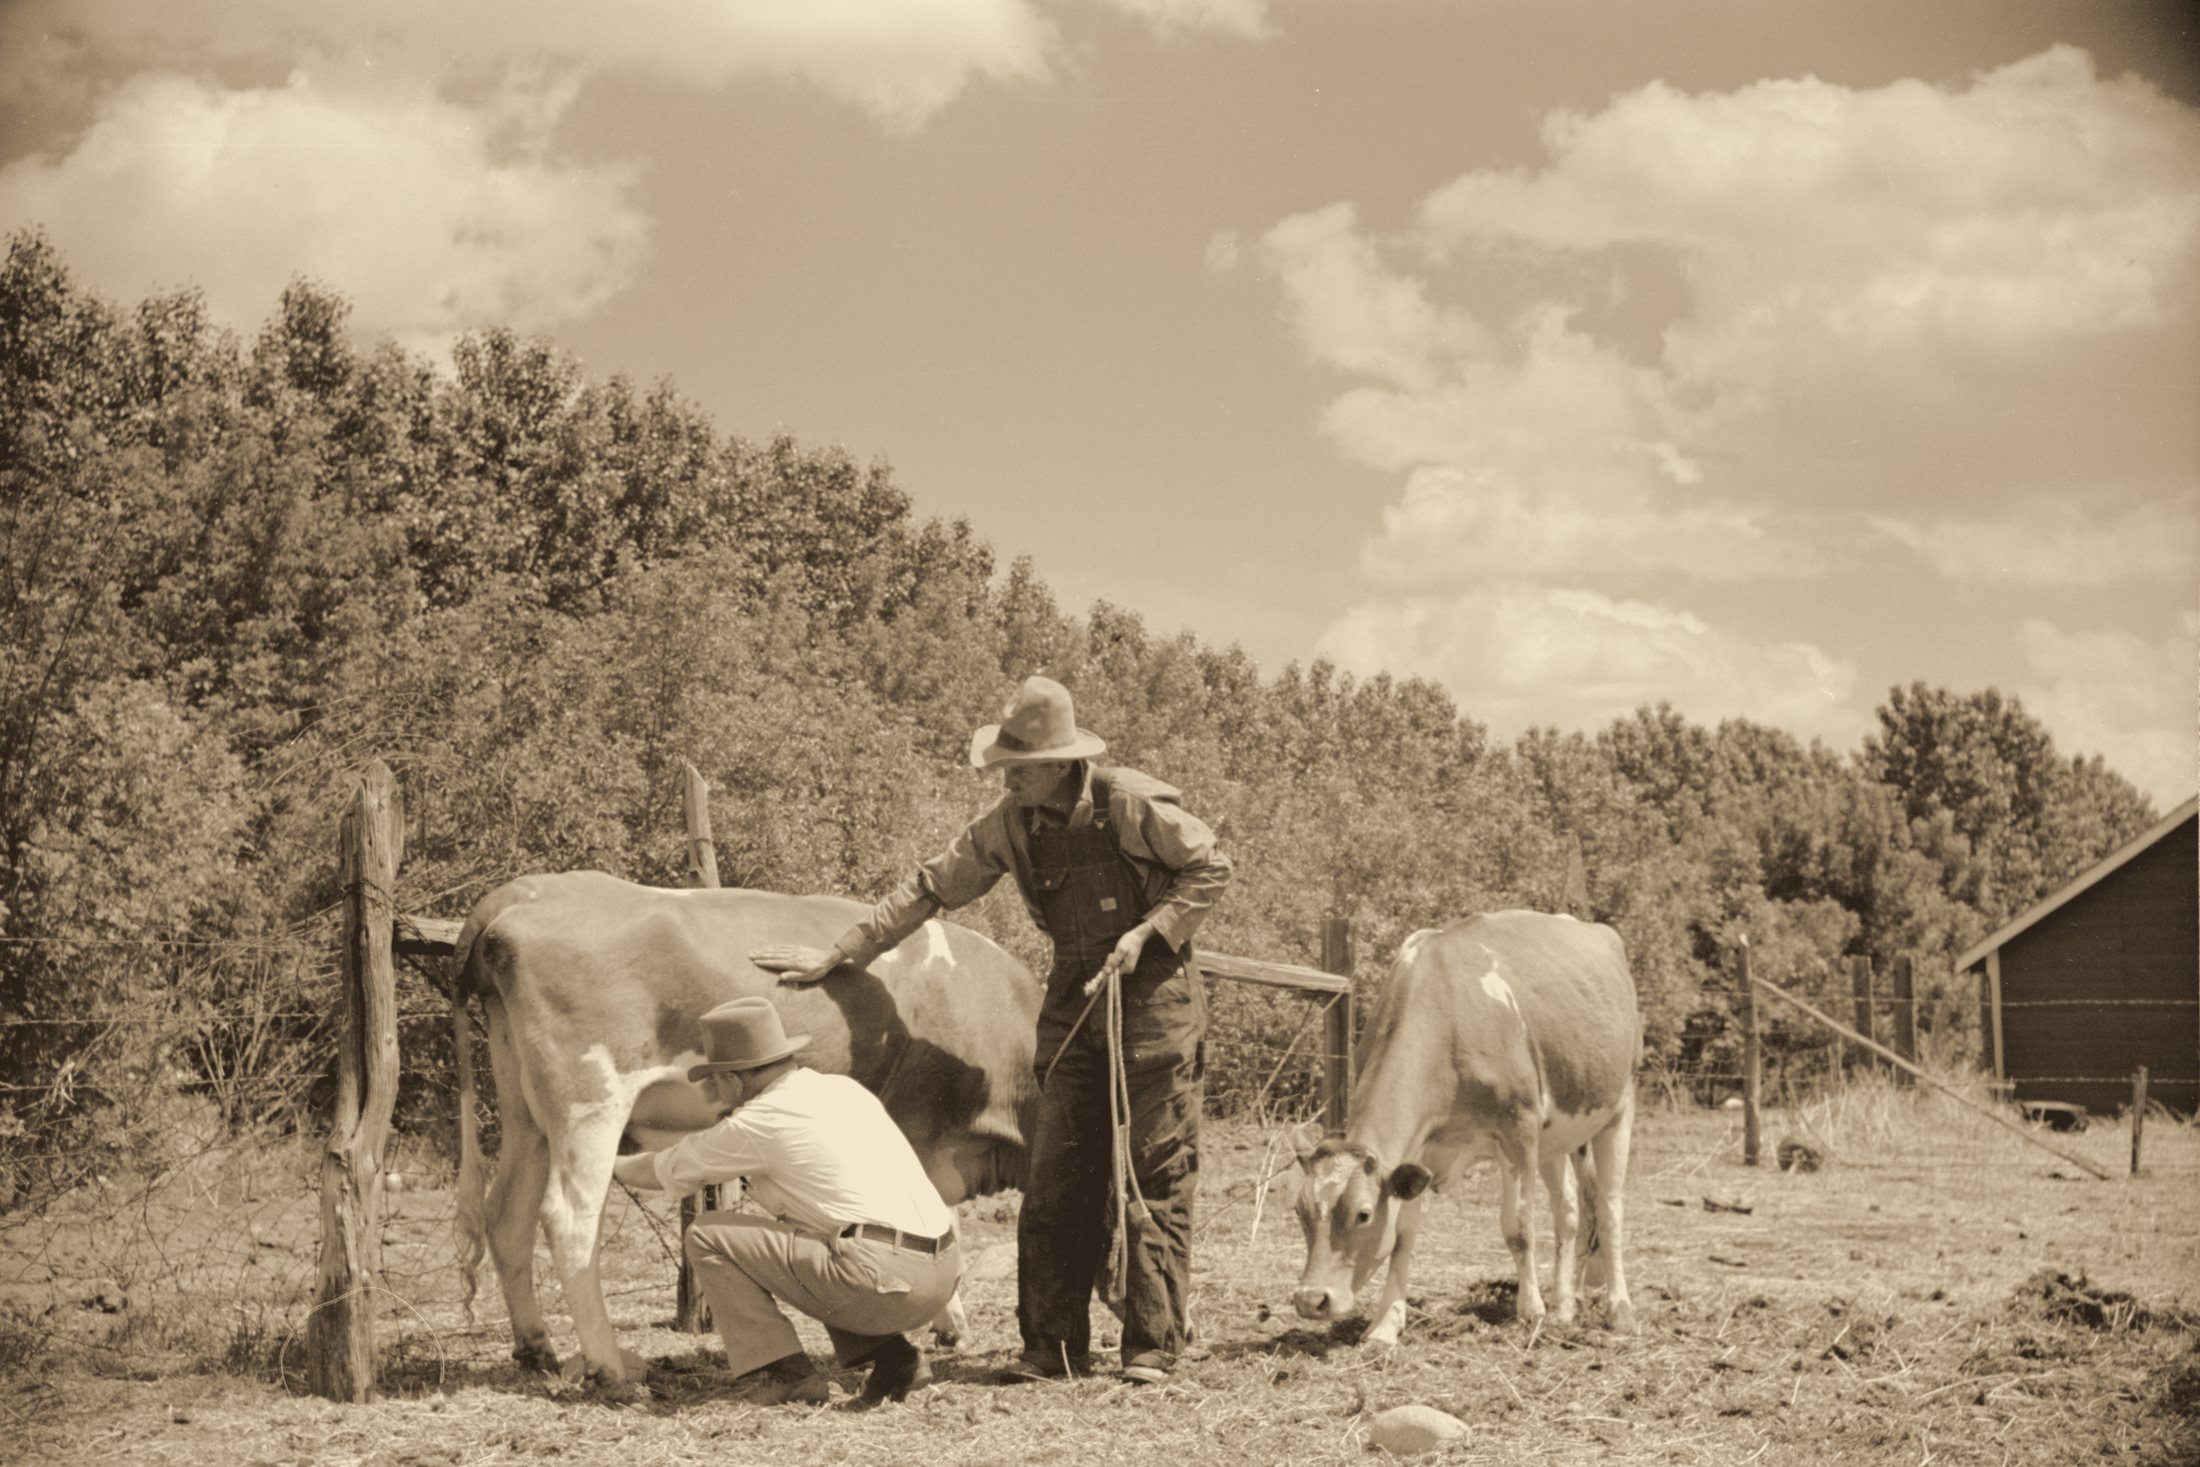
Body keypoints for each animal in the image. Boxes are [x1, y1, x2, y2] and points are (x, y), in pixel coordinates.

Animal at [447, 871, 1040, 1390]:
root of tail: (531, 888)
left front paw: (950, 1325)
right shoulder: (914, 1125)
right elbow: (935, 1218)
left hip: (526, 1112)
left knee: (508, 1214)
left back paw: (537, 1350)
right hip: (588, 1100)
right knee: (569, 1219)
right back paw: (611, 1370)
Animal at [1292, 910, 1639, 1345]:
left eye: (1363, 1214)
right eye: (1300, 1210)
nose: (1311, 1299)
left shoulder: (1519, 1130)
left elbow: (1518, 1228)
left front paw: (1531, 1311)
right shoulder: (1417, 1150)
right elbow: (1402, 1238)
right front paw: (1385, 1325)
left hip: (1619, 1106)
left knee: (1610, 1208)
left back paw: (1619, 1310)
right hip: (1559, 1136)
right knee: (1570, 1212)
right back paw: (1564, 1307)